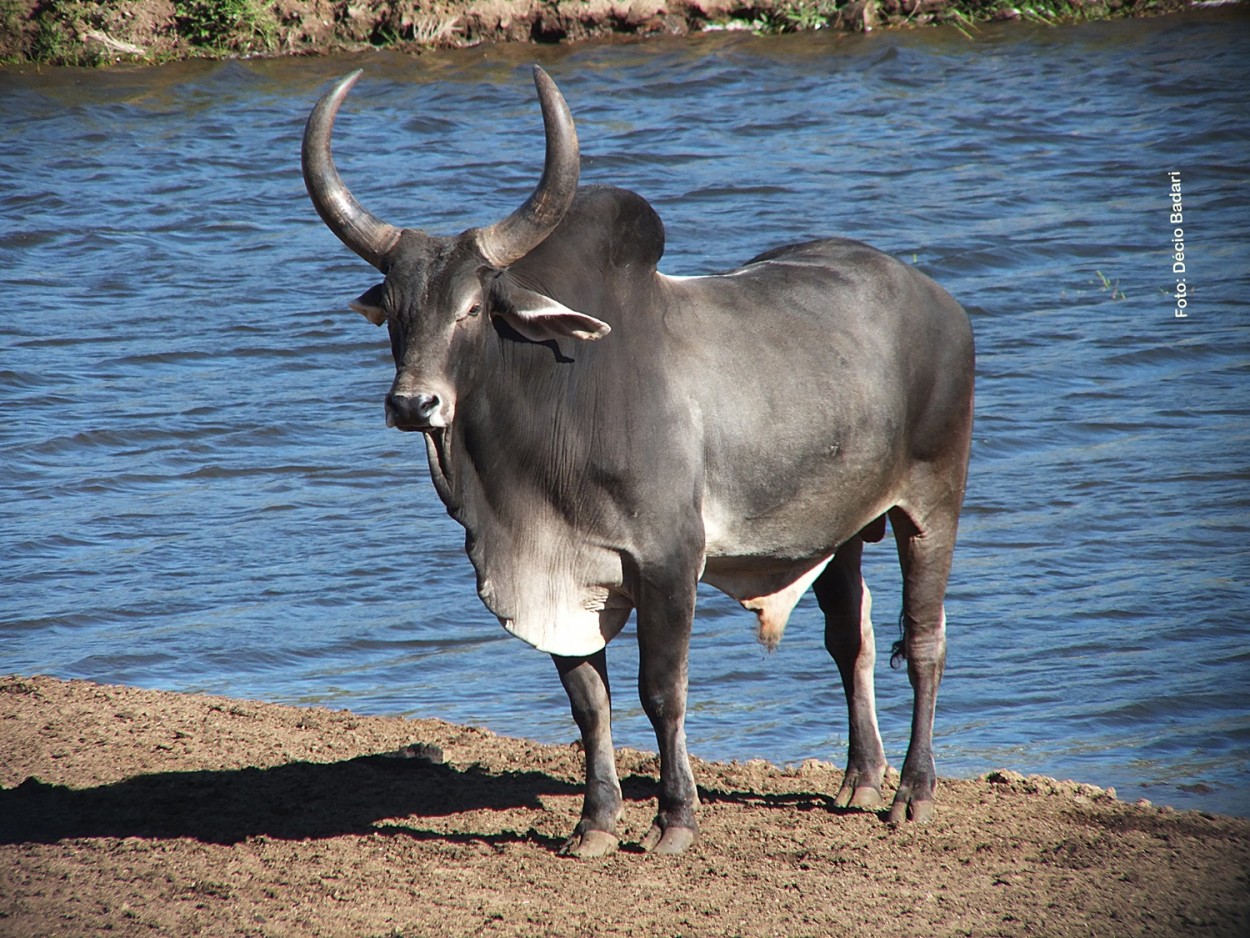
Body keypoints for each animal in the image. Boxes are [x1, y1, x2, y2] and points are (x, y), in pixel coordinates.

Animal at [302, 67, 975, 860]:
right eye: (398, 312)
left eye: (471, 309)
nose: (414, 402)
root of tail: (939, 299)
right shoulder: (562, 576)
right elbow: (589, 703)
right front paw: (595, 823)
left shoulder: (668, 560)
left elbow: (662, 690)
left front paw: (674, 819)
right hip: (838, 529)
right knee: (852, 639)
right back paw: (861, 779)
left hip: (932, 503)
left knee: (926, 640)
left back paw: (912, 792)